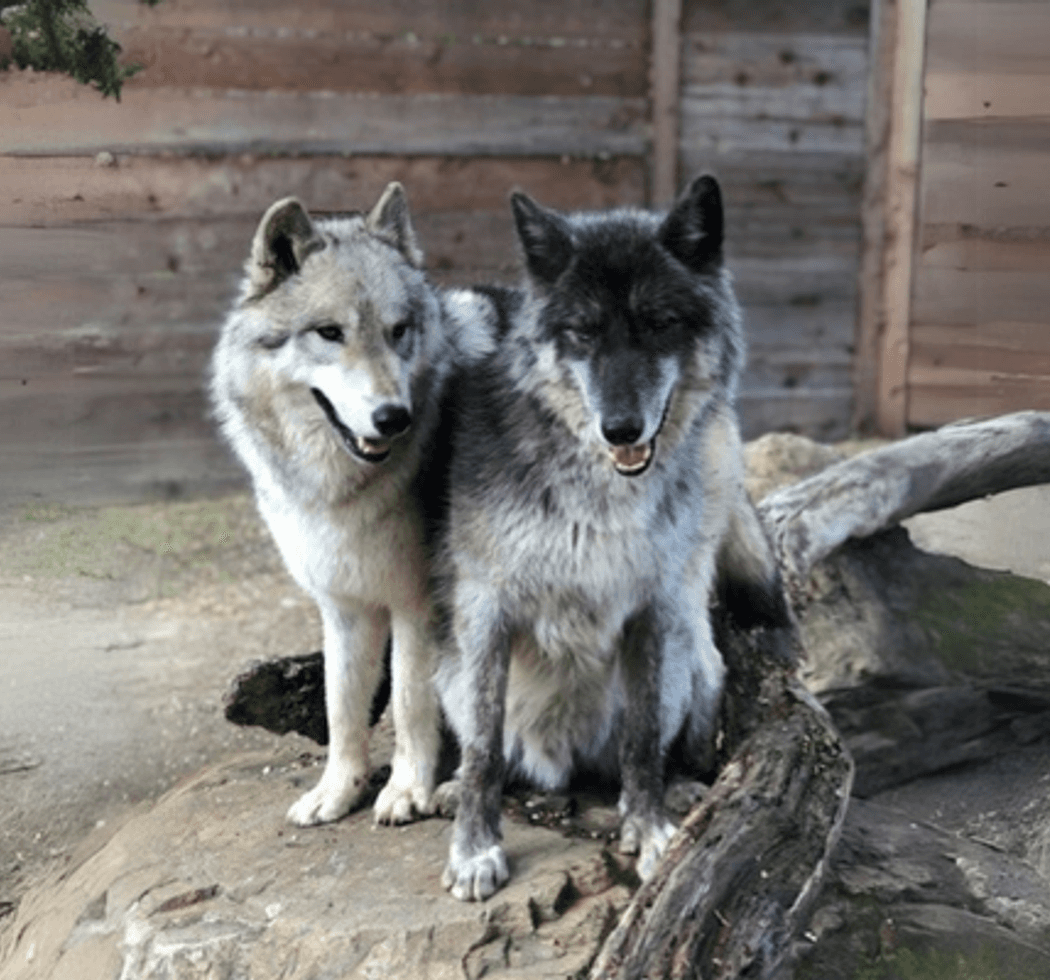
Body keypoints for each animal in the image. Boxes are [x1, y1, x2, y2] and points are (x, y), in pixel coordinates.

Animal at [210, 183, 492, 828]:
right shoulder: (343, 606)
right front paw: (338, 792)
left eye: (399, 330)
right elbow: (342, 707)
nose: (394, 417)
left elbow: (411, 703)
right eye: (329, 333)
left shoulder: (415, 605)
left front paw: (405, 791)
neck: (342, 488)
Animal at [435, 175, 791, 901]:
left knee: (677, 726)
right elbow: (483, 749)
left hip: (687, 647)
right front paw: (475, 849)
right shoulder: (486, 611)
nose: (621, 429)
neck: (596, 486)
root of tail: (562, 763)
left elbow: (643, 740)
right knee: (499, 757)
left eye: (659, 323)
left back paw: (673, 795)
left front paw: (651, 830)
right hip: (451, 675)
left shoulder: (652, 608)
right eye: (582, 332)